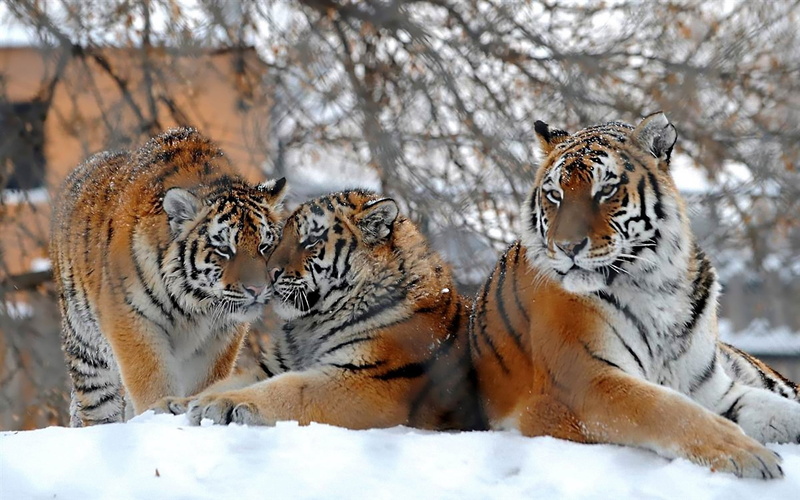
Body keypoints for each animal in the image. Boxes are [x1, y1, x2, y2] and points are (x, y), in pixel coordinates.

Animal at [50, 127, 287, 427]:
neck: (195, 303)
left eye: (264, 246)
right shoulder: (132, 320)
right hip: (88, 351)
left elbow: (206, 382)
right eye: (224, 249)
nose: (257, 289)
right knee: (97, 407)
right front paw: (158, 415)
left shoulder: (221, 335)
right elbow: (152, 380)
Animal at [178, 190, 483, 431]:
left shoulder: (365, 380)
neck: (310, 325)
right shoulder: (272, 367)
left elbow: (290, 389)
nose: (270, 274)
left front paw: (220, 404)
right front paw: (180, 402)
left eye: (311, 241)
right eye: (279, 238)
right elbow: (227, 382)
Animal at [470, 112, 800, 479]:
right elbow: (669, 409)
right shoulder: (586, 380)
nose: (567, 247)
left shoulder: (714, 391)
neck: (657, 283)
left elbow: (778, 410)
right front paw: (748, 454)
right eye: (555, 195)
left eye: (606, 190)